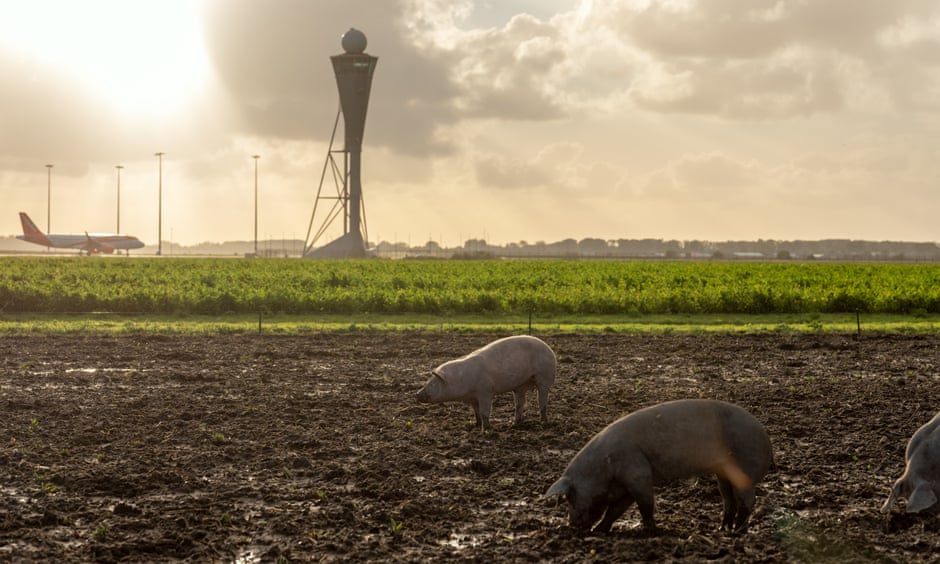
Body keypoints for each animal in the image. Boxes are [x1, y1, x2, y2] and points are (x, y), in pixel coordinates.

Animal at [416, 335, 556, 431]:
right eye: (429, 381)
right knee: (520, 404)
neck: (461, 380)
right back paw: (514, 424)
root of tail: (549, 348)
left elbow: (484, 412)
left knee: (542, 401)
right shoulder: (472, 397)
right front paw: (475, 425)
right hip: (519, 386)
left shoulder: (485, 391)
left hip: (545, 377)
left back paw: (543, 422)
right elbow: (476, 412)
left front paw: (486, 430)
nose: (416, 394)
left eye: (434, 383)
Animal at [545, 398, 773, 534]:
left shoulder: (637, 472)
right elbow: (616, 509)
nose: (571, 525)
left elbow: (645, 504)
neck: (603, 467)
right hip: (723, 473)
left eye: (569, 497)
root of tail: (766, 437)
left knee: (747, 501)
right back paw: (721, 529)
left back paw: (737, 532)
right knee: (729, 500)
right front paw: (600, 531)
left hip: (745, 469)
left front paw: (650, 531)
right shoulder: (626, 485)